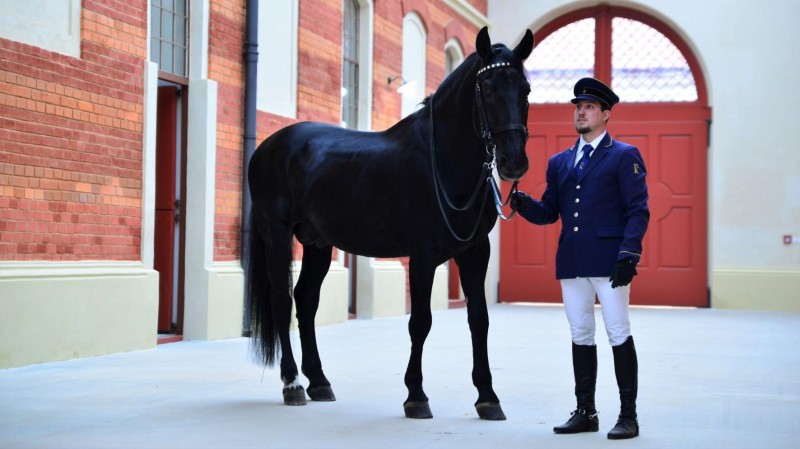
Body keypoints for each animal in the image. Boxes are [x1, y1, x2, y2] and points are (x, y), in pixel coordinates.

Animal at [244, 27, 532, 420]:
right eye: (487, 88)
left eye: (526, 90)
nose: (513, 162)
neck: (443, 162)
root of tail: (266, 148)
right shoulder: (422, 255)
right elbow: (421, 322)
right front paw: (416, 396)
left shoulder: (476, 252)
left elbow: (479, 319)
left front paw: (487, 396)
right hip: (277, 235)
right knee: (281, 301)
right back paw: (293, 384)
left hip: (318, 242)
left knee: (305, 299)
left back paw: (319, 381)